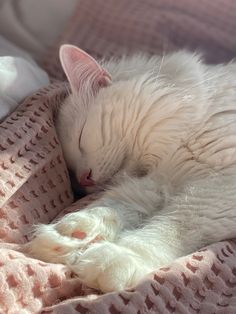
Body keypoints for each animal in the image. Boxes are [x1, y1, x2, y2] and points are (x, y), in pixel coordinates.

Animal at [27, 45, 236, 294]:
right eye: (72, 175)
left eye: (80, 138)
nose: (85, 178)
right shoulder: (159, 182)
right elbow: (113, 206)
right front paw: (72, 236)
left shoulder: (217, 187)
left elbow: (173, 226)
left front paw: (117, 257)